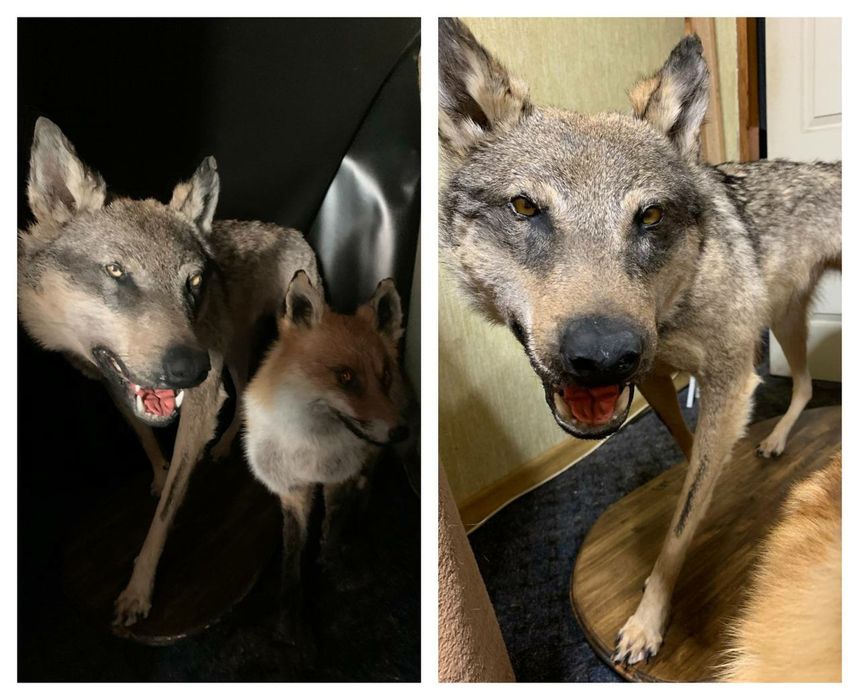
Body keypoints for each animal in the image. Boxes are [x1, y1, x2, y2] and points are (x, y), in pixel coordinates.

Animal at [18, 117, 320, 627]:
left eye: (194, 281)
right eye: (116, 271)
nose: (190, 368)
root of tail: (294, 231)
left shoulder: (201, 403)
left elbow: (163, 516)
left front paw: (138, 591)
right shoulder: (115, 382)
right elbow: (143, 433)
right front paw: (159, 474)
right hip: (232, 352)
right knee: (242, 390)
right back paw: (226, 446)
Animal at [243, 271, 410, 639]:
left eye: (384, 377)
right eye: (345, 377)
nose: (401, 432)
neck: (311, 448)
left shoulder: (339, 477)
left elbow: (333, 525)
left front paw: (331, 563)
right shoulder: (291, 489)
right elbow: (292, 551)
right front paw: (289, 612)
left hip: (369, 459)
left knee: (365, 488)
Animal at [438, 18, 841, 667]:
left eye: (649, 217)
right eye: (524, 207)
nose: (602, 355)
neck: (681, 297)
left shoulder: (730, 382)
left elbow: (678, 530)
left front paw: (650, 620)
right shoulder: (654, 377)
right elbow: (689, 456)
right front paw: (707, 475)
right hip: (785, 324)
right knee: (803, 387)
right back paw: (776, 440)